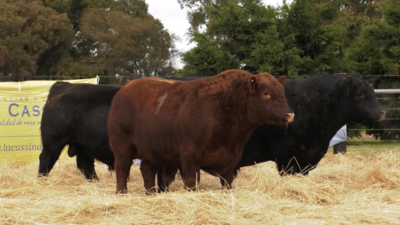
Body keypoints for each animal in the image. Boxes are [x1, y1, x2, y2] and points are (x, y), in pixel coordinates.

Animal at [38, 74, 384, 186]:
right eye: (361, 94)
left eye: (372, 91)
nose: (382, 112)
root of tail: (62, 85)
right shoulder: (290, 158)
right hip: (53, 143)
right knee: (45, 163)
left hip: (80, 147)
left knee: (86, 165)